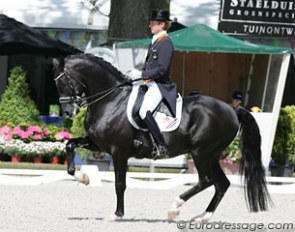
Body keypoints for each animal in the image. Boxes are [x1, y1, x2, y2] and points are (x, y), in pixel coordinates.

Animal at [54, 53, 272, 222]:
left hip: (201, 152)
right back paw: (202, 217)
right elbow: (69, 146)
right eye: (56, 83)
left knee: (206, 180)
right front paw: (83, 178)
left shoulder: (119, 151)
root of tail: (232, 110)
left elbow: (120, 184)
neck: (111, 100)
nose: (68, 112)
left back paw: (174, 208)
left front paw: (116, 214)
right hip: (211, 155)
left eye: (64, 81)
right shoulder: (98, 144)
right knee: (221, 184)